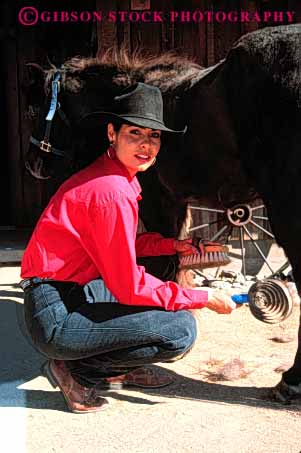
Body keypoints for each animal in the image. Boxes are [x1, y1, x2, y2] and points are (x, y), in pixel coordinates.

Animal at [25, 23, 300, 400]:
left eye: (37, 111)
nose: (33, 165)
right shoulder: (177, 204)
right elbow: (176, 258)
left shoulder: (158, 202)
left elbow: (159, 265)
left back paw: (291, 380)